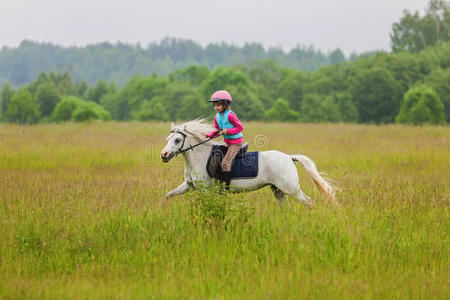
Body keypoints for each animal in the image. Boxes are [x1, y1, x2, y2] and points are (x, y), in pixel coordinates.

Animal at [160, 119, 336, 206]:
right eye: (167, 139)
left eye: (177, 140)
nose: (164, 155)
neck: (199, 157)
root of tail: (289, 157)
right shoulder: (188, 185)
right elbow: (168, 195)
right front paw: (162, 208)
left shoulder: (205, 190)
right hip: (277, 189)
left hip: (291, 188)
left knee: (309, 202)